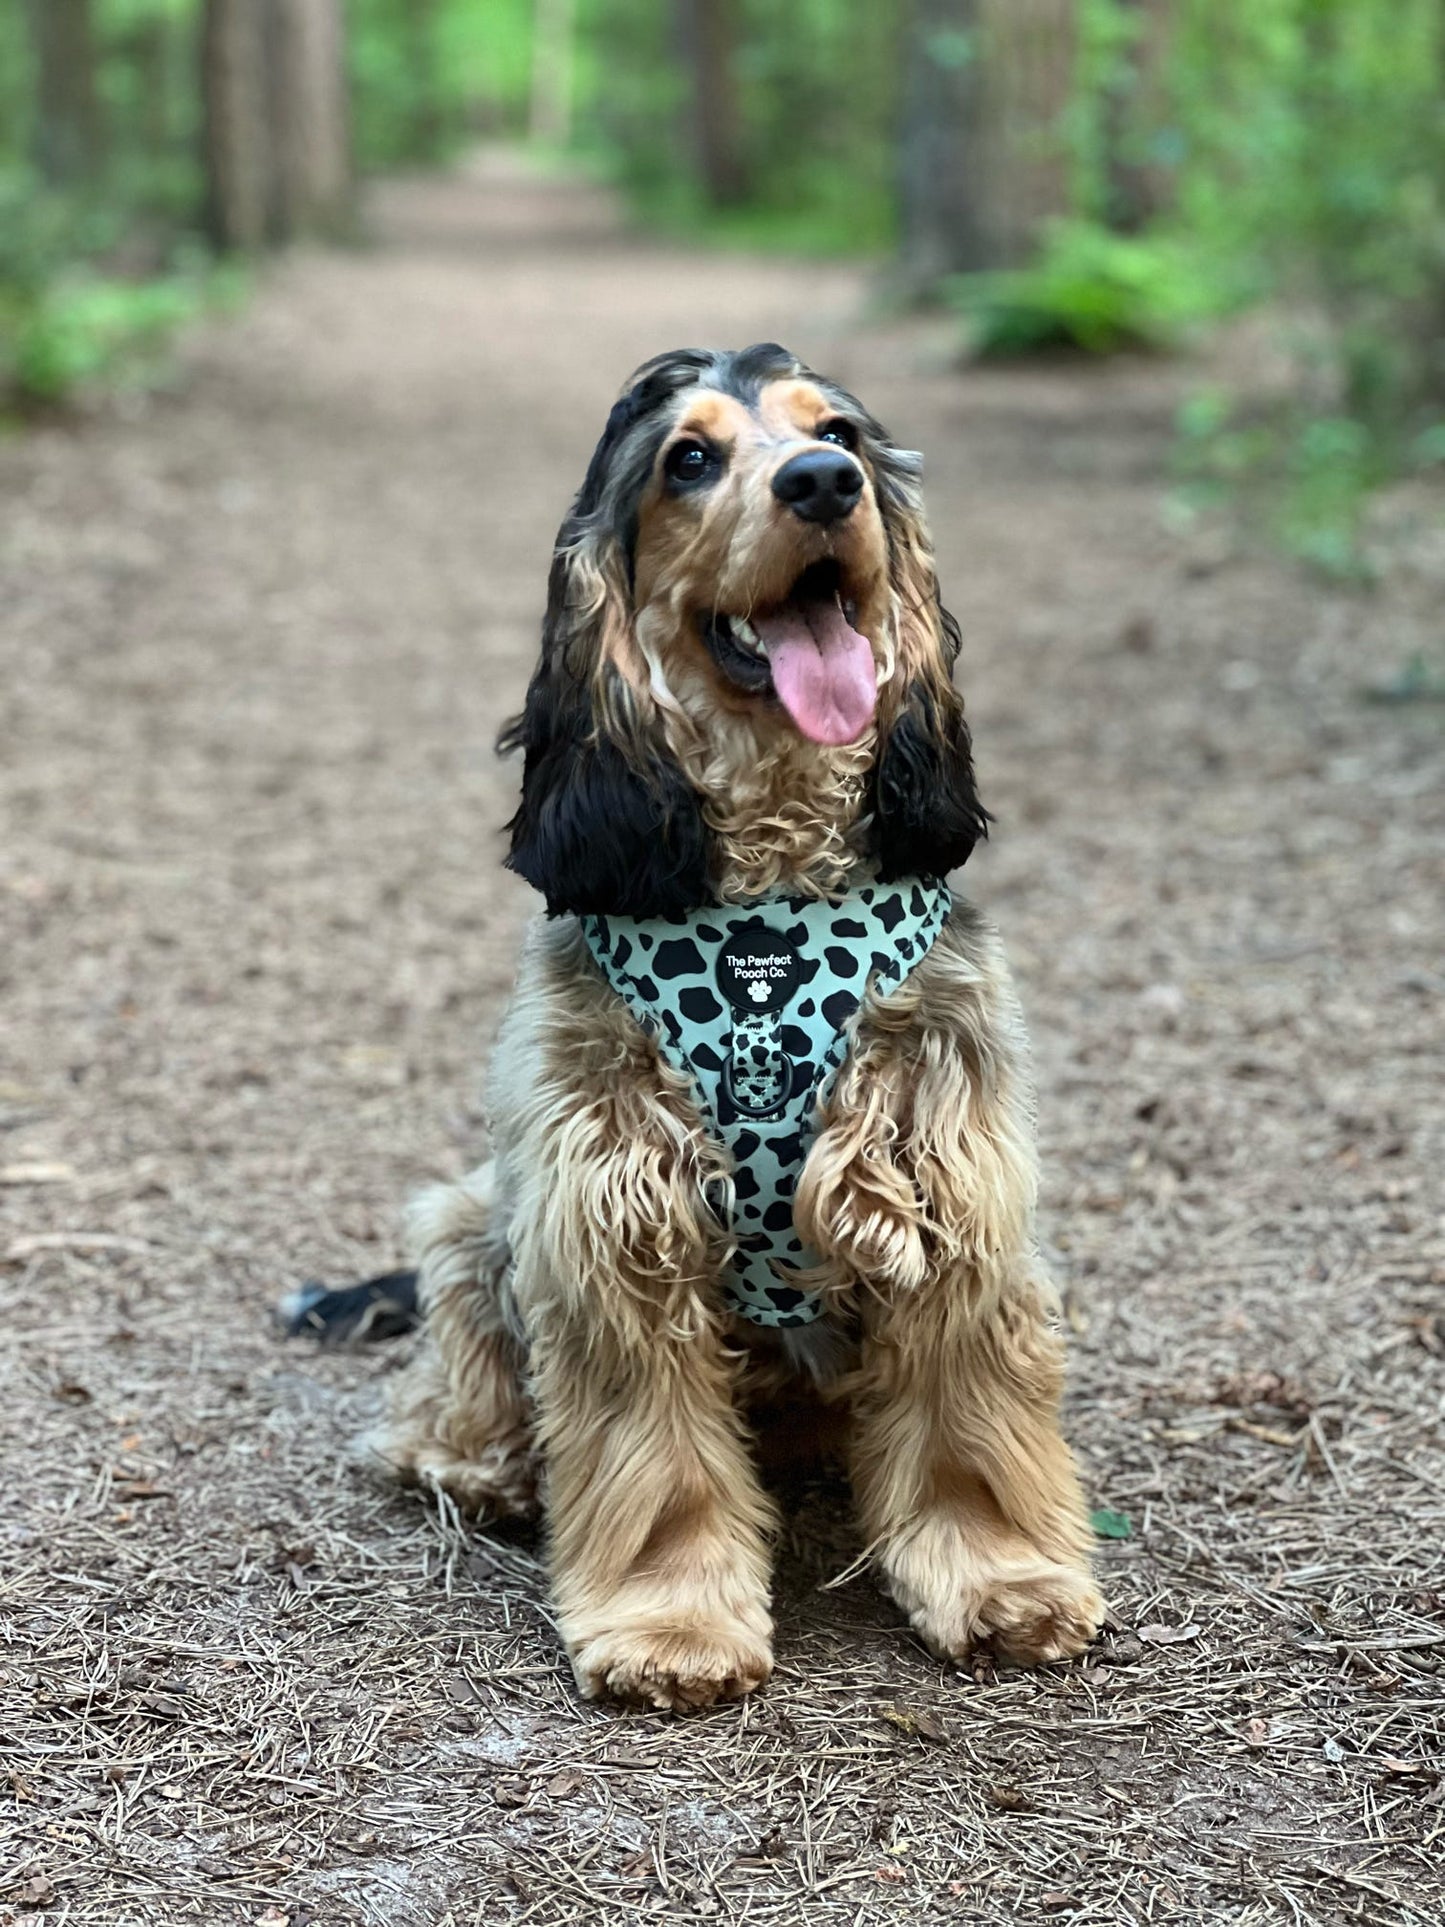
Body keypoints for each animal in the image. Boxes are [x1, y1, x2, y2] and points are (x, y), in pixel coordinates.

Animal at [327, 346, 1102, 1718]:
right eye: (688, 459)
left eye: (835, 430)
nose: (822, 483)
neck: (767, 894)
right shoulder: (607, 1206)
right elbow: (653, 1457)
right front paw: (670, 1624)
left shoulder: (950, 1181)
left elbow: (967, 1423)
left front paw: (1004, 1581)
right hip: (475, 1215)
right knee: (453, 1377)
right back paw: (484, 1467)